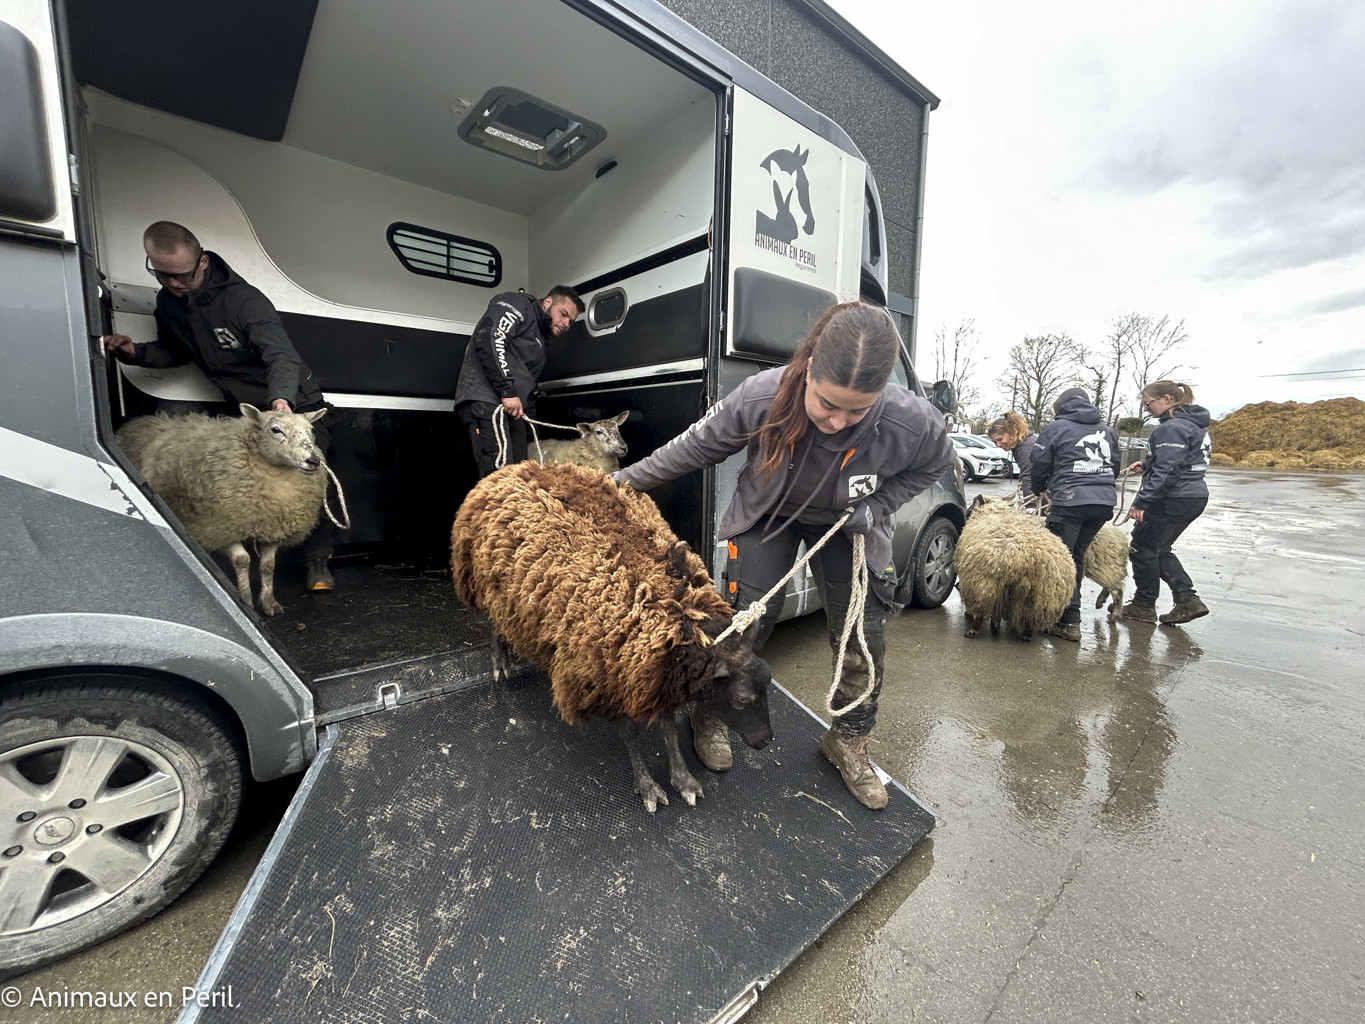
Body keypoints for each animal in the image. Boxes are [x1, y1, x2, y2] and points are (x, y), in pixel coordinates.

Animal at [116, 403, 328, 616]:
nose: (313, 461)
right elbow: (242, 560)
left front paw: (269, 603)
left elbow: (268, 566)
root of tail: (140, 421)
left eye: (310, 430)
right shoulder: (222, 527)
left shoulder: (274, 528)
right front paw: (246, 600)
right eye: (275, 430)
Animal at [450, 460, 773, 812]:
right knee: (496, 622)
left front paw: (682, 779)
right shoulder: (605, 678)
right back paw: (500, 661)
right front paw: (647, 786)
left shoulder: (653, 672)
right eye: (742, 698)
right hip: (488, 584)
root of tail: (512, 467)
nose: (766, 741)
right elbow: (631, 734)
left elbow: (668, 726)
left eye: (767, 683)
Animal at [953, 495, 1075, 640]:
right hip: (1041, 597)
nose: (965, 512)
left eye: (973, 502)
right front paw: (995, 625)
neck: (995, 512)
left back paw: (972, 630)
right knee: (1030, 617)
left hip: (987, 584)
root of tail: (1031, 560)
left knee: (982, 609)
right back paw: (1026, 635)